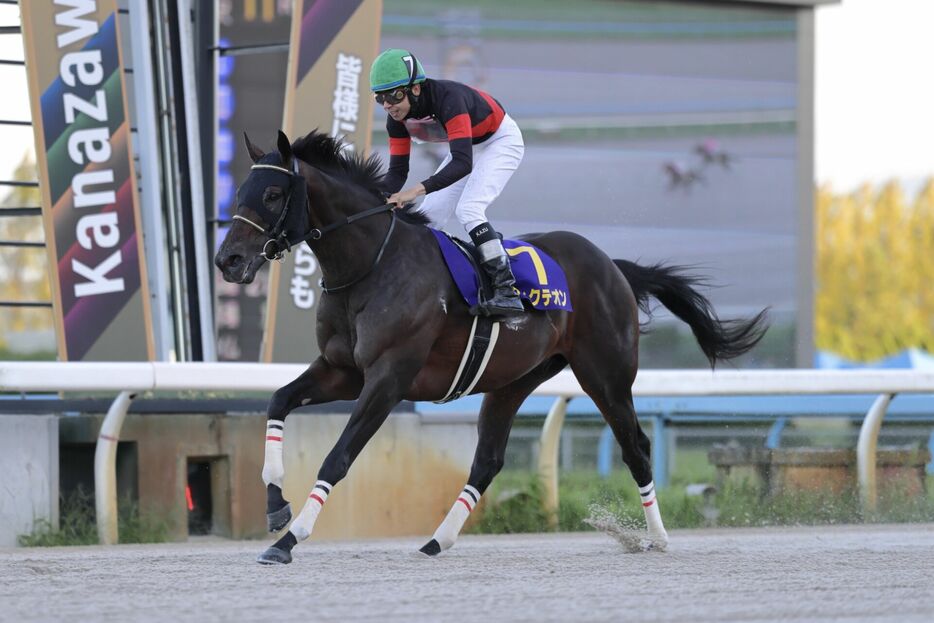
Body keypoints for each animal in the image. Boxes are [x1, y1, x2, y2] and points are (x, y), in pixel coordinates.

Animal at [218, 132, 768, 564]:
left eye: (272, 193)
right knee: (488, 460)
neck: (370, 266)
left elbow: (338, 457)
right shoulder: (341, 370)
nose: (228, 260)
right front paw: (275, 507)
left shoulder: (388, 377)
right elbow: (278, 401)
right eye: (241, 190)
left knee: (636, 447)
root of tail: (612, 265)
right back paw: (437, 541)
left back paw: (657, 538)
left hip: (606, 375)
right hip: (514, 380)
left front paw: (289, 540)